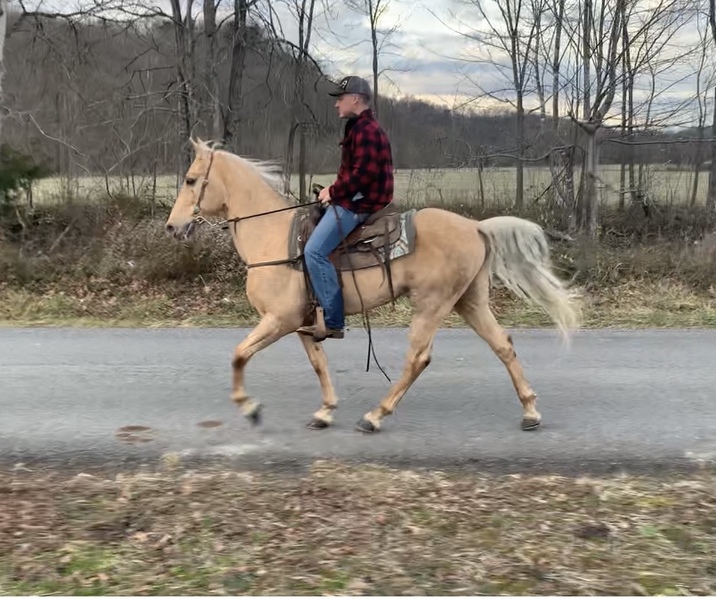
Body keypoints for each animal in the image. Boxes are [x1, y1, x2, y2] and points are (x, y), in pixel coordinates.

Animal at [165, 139, 581, 434]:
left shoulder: (279, 320)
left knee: (418, 358)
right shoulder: (301, 323)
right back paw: (530, 411)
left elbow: (238, 354)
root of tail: (476, 226)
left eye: (190, 180)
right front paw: (325, 411)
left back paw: (375, 415)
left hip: (432, 304)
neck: (271, 234)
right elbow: (318, 364)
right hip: (469, 301)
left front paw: (249, 408)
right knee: (503, 345)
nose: (172, 227)